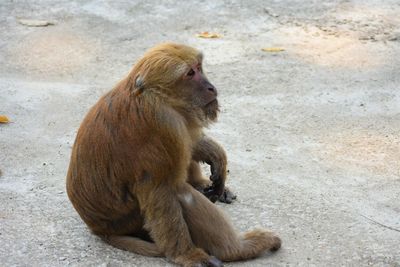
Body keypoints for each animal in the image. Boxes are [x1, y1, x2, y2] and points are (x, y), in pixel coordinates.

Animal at [66, 43, 282, 266]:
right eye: (190, 73)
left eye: (199, 67)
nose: (211, 87)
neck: (157, 97)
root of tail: (98, 228)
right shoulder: (164, 124)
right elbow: (160, 192)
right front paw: (187, 255)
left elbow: (191, 142)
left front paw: (216, 155)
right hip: (128, 221)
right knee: (179, 190)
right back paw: (237, 249)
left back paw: (201, 184)